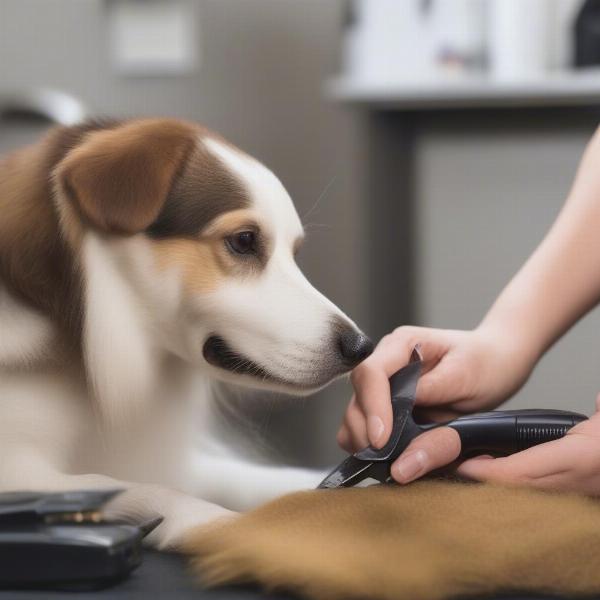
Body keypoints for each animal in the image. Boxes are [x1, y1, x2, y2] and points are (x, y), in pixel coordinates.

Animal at [0, 117, 372, 548]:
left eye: (294, 253)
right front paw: (224, 526)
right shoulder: (17, 466)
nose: (361, 347)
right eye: (244, 240)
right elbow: (134, 489)